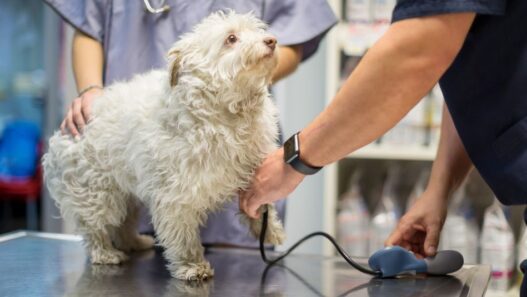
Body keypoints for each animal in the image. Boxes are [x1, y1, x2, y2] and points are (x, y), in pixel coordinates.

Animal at [43, 11, 286, 280]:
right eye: (231, 38)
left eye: (258, 30)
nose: (272, 41)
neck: (227, 115)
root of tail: (62, 131)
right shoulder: (176, 194)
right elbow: (183, 234)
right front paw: (192, 265)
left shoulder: (251, 168)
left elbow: (263, 203)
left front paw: (270, 229)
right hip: (96, 193)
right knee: (95, 227)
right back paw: (105, 252)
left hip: (127, 191)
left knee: (124, 223)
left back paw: (135, 242)